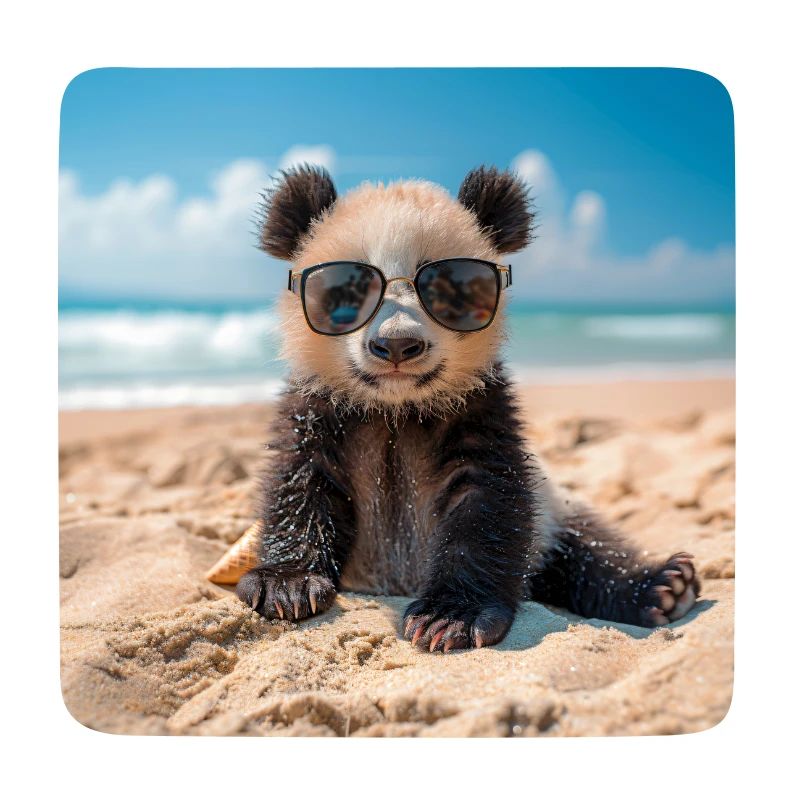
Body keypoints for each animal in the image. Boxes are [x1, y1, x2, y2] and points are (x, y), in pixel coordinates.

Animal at [235, 164, 700, 652]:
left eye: (446, 288)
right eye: (347, 290)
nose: (397, 345)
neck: (395, 409)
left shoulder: (480, 407)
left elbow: (486, 501)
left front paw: (449, 616)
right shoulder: (319, 407)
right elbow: (299, 481)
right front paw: (286, 584)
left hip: (554, 511)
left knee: (587, 549)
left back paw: (664, 585)